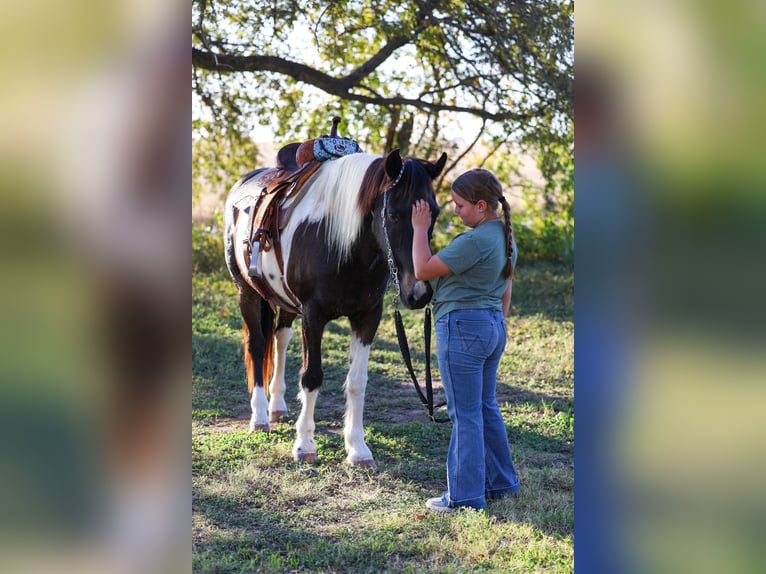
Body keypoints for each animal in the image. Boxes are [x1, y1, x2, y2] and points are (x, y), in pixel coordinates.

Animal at [224, 148, 447, 467]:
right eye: (393, 215)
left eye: (435, 214)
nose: (418, 293)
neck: (341, 245)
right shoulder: (314, 315)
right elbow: (312, 376)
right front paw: (305, 445)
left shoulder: (368, 317)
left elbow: (357, 382)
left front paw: (358, 449)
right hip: (248, 294)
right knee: (256, 345)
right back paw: (260, 417)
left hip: (285, 301)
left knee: (280, 338)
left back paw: (277, 406)